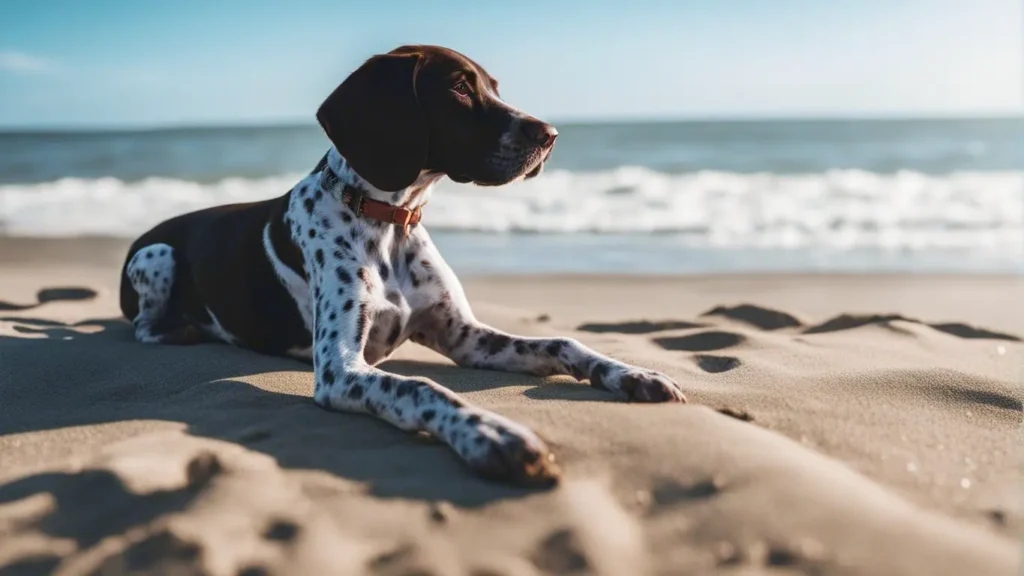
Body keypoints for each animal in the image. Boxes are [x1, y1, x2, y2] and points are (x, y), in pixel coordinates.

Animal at [117, 45, 688, 483]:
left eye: (494, 87)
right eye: (459, 88)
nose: (549, 134)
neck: (389, 219)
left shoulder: (466, 337)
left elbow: (562, 342)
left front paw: (631, 372)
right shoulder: (340, 370)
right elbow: (420, 387)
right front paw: (491, 434)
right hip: (155, 255)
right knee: (143, 326)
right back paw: (182, 331)